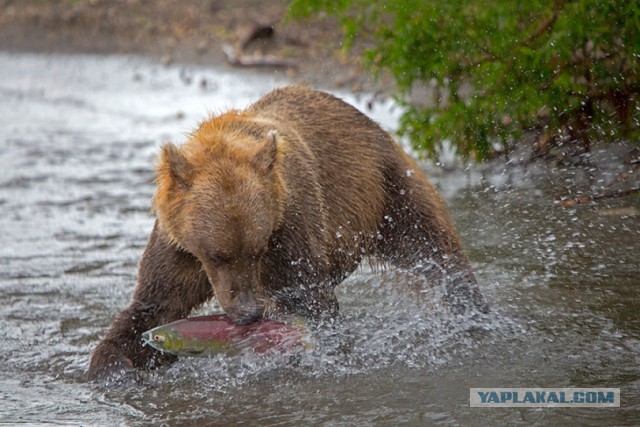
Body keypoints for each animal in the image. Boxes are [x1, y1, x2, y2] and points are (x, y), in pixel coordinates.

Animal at [87, 84, 488, 382]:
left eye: (257, 248)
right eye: (219, 254)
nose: (249, 312)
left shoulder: (289, 226)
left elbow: (309, 300)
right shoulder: (178, 245)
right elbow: (153, 304)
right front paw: (113, 367)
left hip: (388, 189)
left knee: (437, 253)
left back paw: (475, 320)